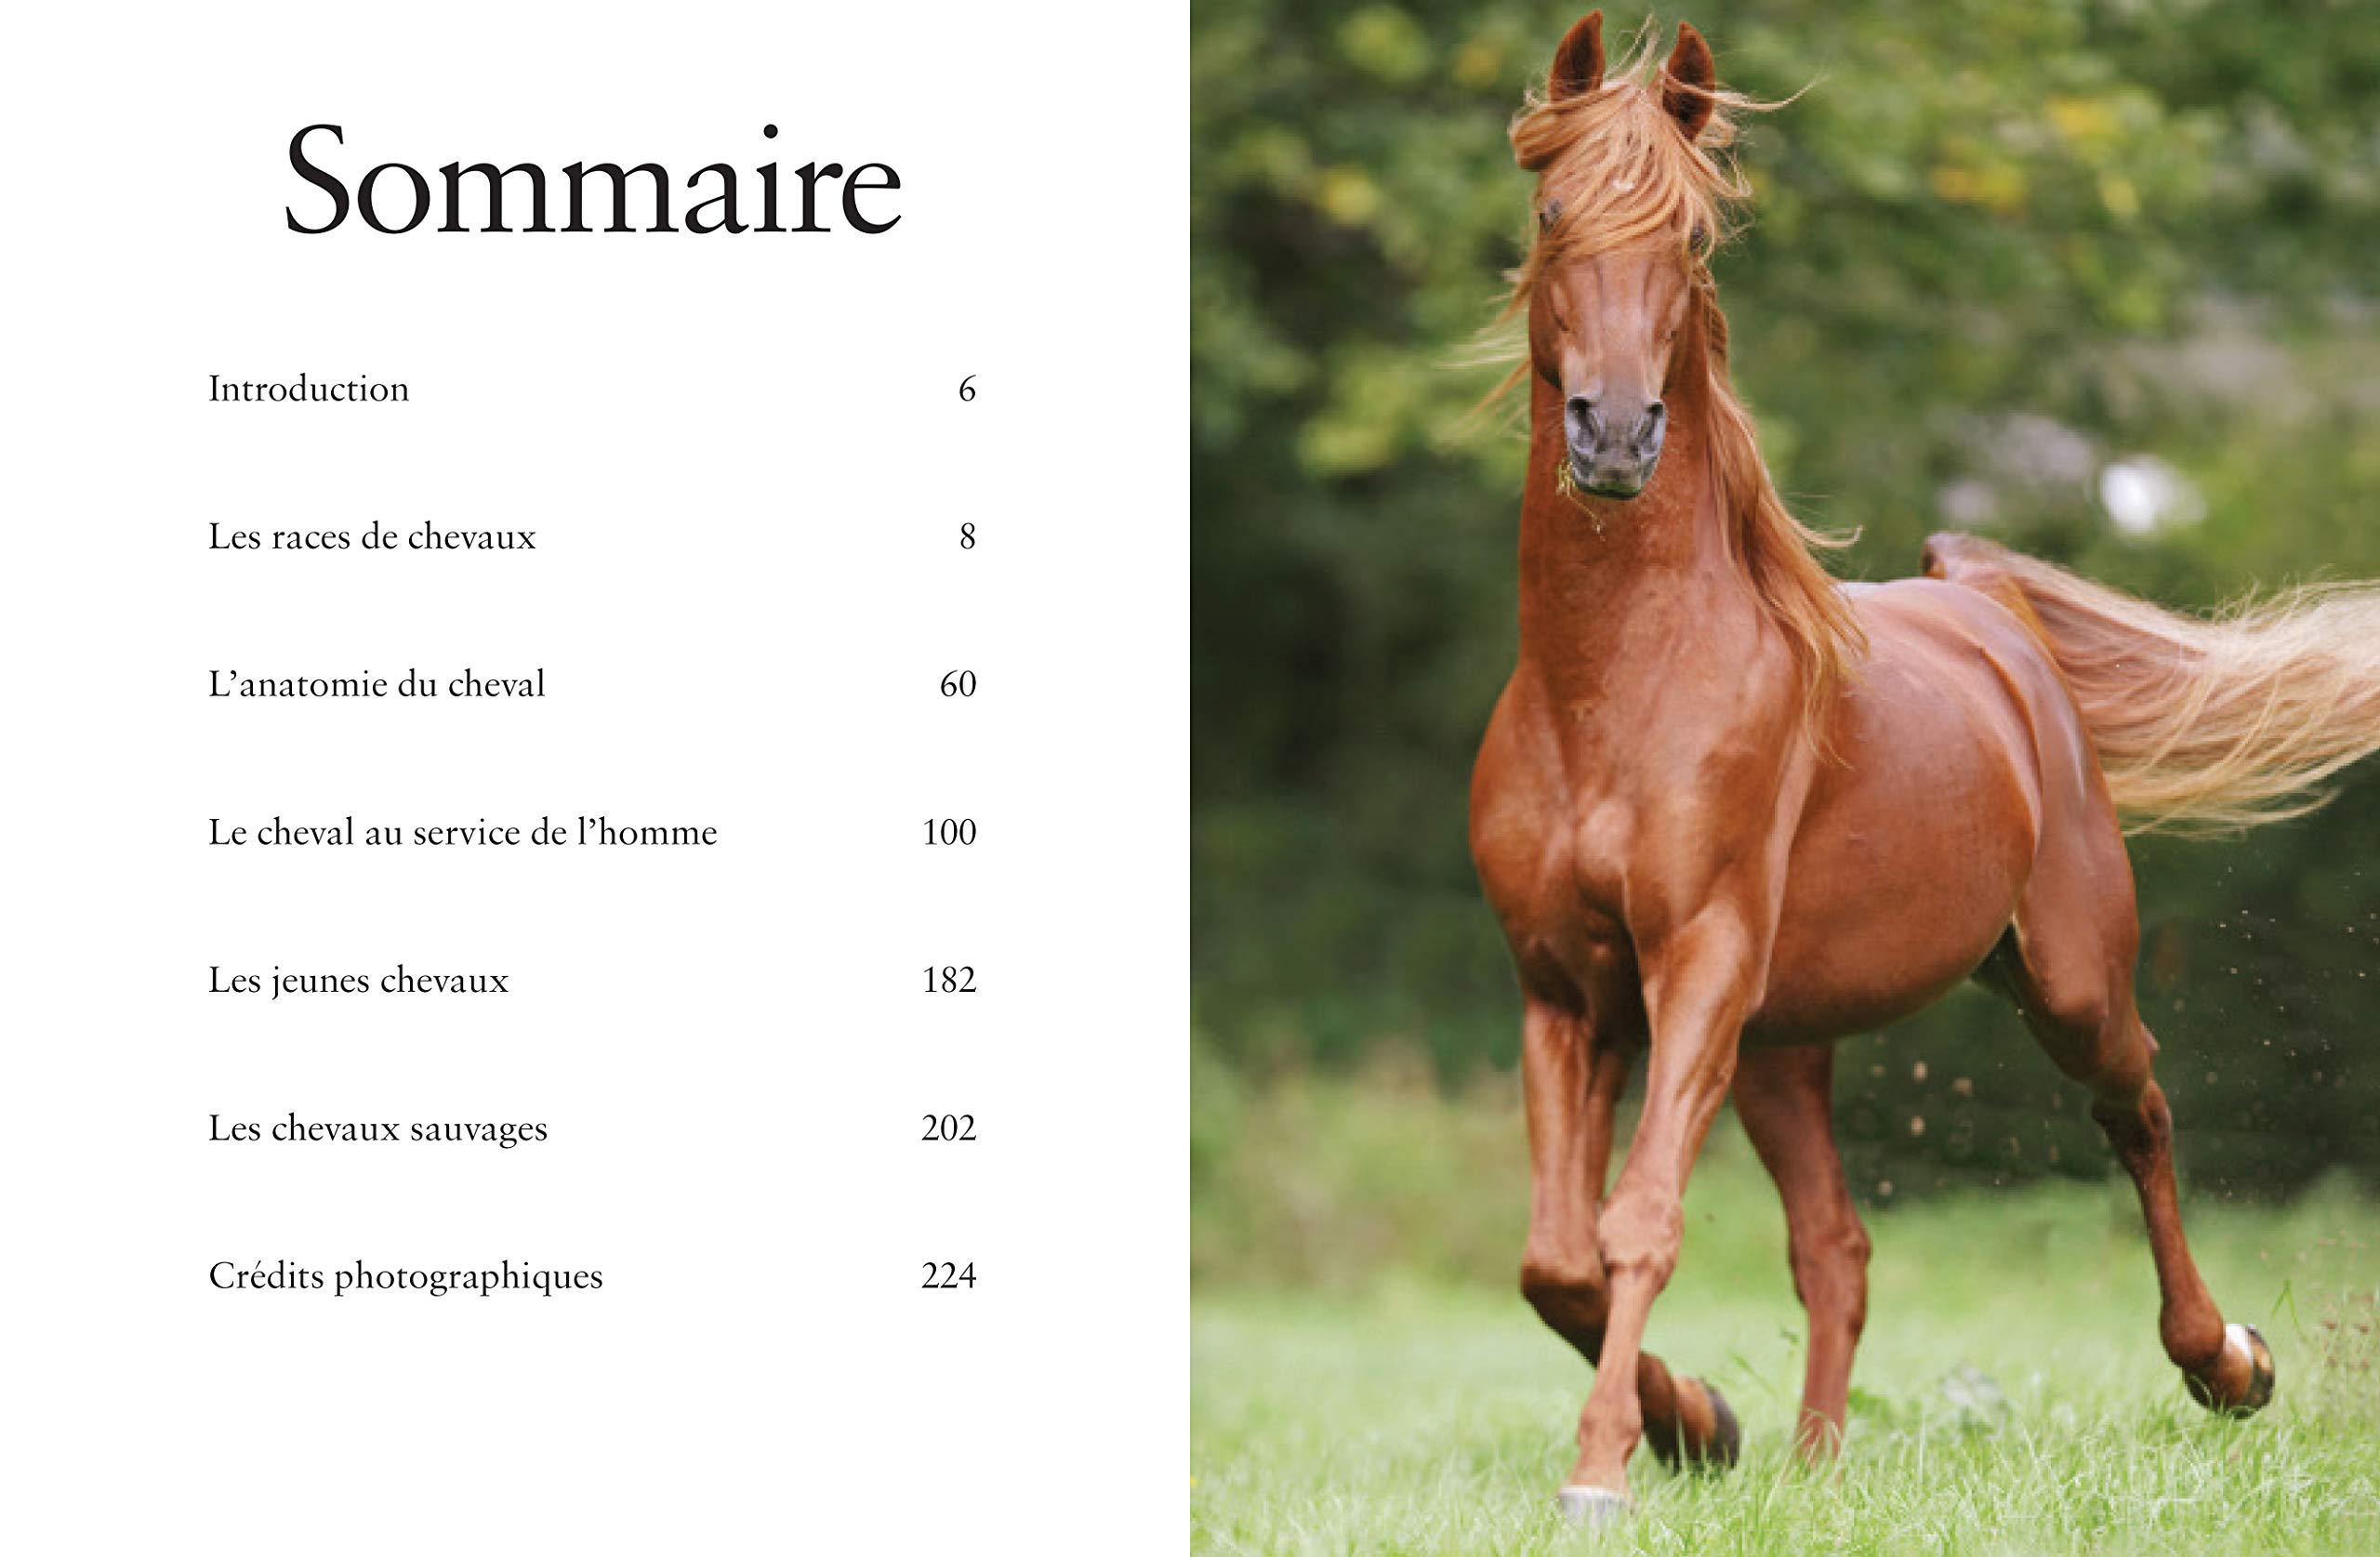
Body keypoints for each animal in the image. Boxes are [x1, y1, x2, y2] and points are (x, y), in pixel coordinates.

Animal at [1467, 12, 2380, 1522]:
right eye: (1551, 215)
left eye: (1693, 240)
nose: (1614, 435)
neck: (1613, 690)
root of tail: (1989, 610)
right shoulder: (1566, 988)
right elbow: (1555, 1258)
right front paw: (1696, 1421)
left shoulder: (1695, 963)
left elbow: (1636, 1221)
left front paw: (1603, 1472)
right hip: (1782, 1043)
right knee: (1835, 1241)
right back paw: (1812, 1461)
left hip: (2064, 979)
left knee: (2139, 1110)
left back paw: (2229, 1363)